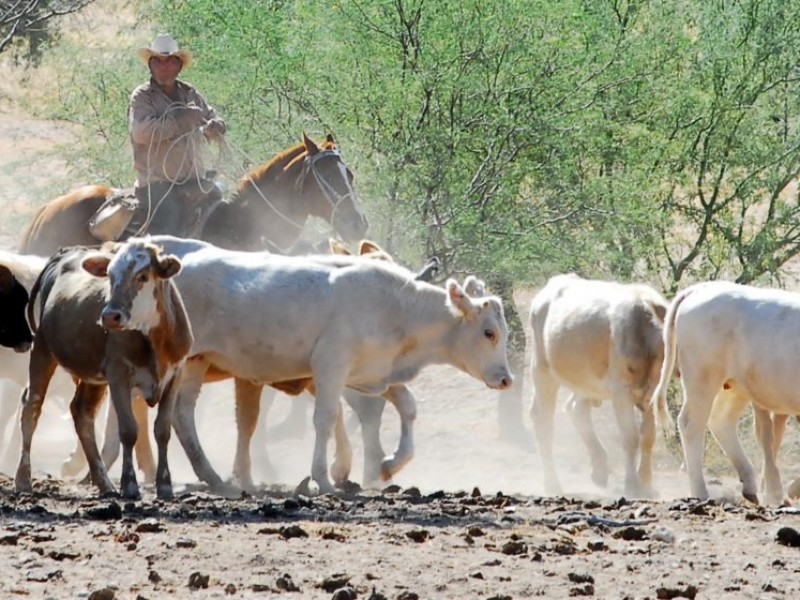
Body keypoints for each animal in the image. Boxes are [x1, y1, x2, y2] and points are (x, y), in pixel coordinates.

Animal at [15, 241, 192, 500]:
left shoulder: (175, 376)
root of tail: (64, 254)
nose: (110, 316)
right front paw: (130, 485)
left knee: (81, 413)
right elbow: (128, 430)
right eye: (109, 276)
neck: (154, 340)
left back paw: (104, 483)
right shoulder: (118, 375)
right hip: (42, 348)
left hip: (92, 378)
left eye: (142, 276)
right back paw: (23, 480)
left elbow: (162, 430)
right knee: (32, 408)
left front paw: (165, 486)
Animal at [147, 234, 512, 492]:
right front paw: (323, 478)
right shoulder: (331, 366)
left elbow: (407, 406)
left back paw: (212, 476)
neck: (397, 308)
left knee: (183, 413)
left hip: (198, 360)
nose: (507, 379)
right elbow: (325, 418)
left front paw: (388, 464)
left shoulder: (370, 373)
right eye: (489, 332)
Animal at [532, 274, 668, 496]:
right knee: (543, 419)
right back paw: (552, 483)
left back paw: (600, 469)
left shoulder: (650, 391)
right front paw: (632, 485)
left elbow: (648, 436)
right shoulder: (621, 390)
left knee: (575, 408)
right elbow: (631, 437)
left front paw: (646, 484)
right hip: (542, 369)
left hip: (586, 382)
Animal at [652, 282, 800, 506]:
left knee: (721, 421)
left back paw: (751, 487)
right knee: (691, 424)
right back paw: (701, 492)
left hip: (735, 387)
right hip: (702, 378)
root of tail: (700, 289)